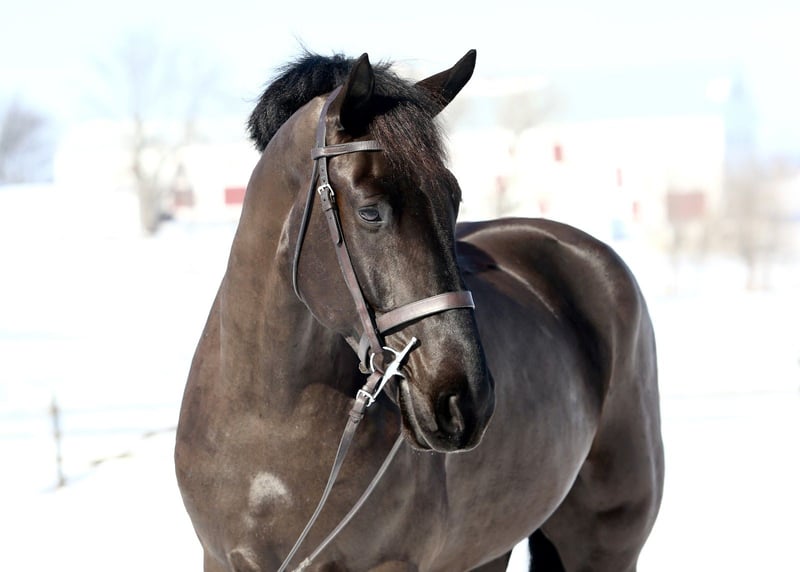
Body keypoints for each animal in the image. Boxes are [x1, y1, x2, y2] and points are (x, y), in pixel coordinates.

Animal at [175, 50, 664, 572]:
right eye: (370, 211)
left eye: (454, 200)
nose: (464, 400)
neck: (269, 419)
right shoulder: (219, 557)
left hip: (605, 542)